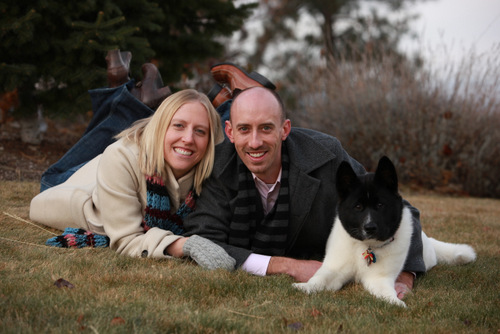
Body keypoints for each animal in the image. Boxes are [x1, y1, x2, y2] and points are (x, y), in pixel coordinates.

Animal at [292, 157, 476, 308]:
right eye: (358, 206)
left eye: (380, 205)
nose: (370, 228)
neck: (366, 247)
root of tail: (427, 239)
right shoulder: (334, 269)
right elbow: (319, 278)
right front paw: (304, 287)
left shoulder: (378, 279)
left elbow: (387, 293)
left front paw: (396, 302)